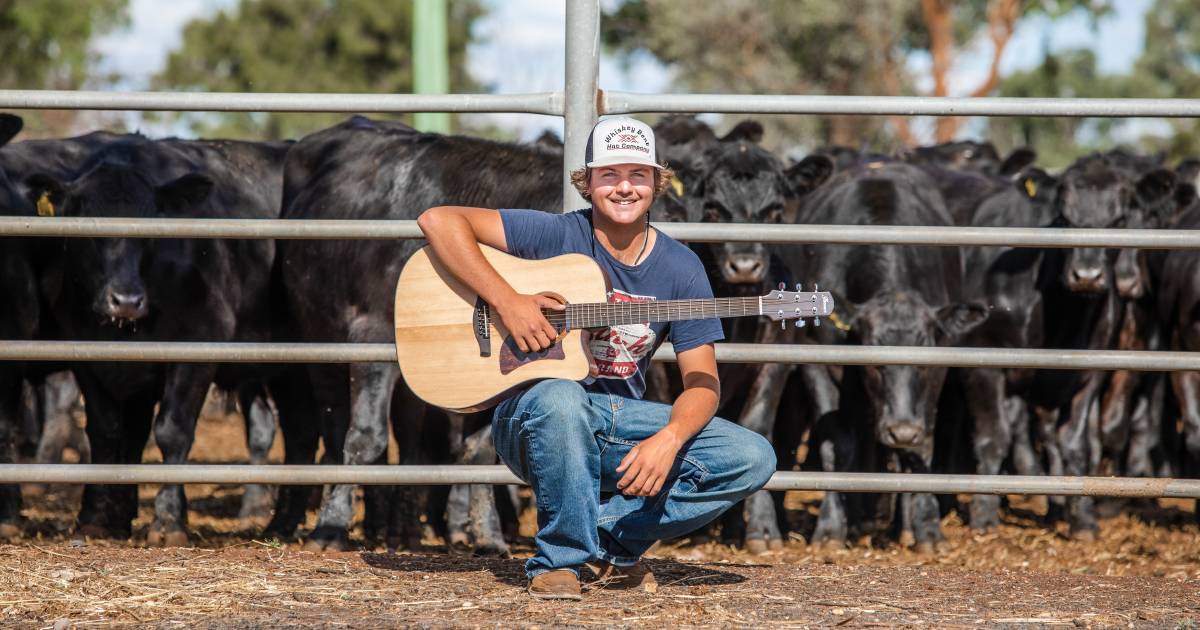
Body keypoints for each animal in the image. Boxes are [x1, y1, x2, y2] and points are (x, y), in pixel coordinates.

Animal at [25, 137, 288, 544]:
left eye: (150, 227)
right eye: (87, 227)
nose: (126, 300)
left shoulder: (198, 347)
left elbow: (172, 431)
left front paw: (168, 520)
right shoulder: (89, 359)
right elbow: (109, 433)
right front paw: (100, 516)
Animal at [278, 116, 564, 549]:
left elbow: (481, 449)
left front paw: (488, 535)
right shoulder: (371, 336)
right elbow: (364, 436)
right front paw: (330, 527)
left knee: (410, 440)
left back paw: (402, 528)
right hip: (321, 342)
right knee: (338, 427)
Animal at [787, 163, 984, 549]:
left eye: (922, 365)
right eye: (874, 364)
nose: (902, 431)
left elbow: (921, 446)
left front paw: (926, 528)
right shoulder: (817, 364)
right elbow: (835, 445)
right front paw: (831, 528)